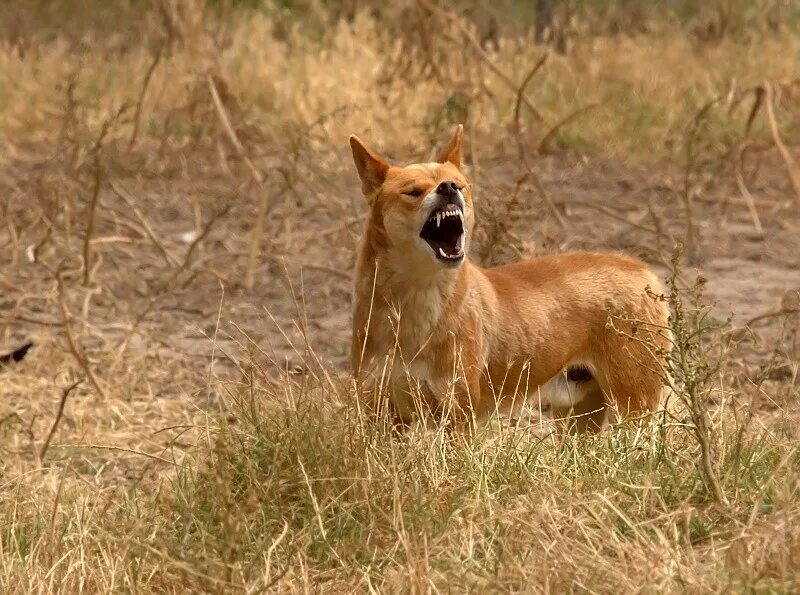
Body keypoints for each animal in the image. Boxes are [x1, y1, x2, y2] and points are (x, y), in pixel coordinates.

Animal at [348, 125, 668, 434]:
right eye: (413, 192)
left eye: (459, 184)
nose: (449, 188)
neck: (413, 304)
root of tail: (642, 269)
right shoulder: (380, 412)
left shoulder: (458, 412)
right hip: (576, 416)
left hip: (634, 408)